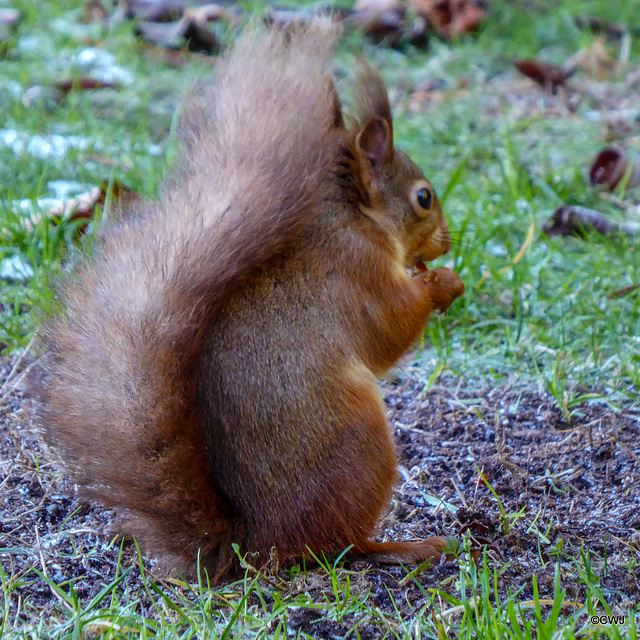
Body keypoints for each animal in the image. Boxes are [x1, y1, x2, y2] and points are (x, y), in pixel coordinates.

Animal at [31, 22, 464, 576]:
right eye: (424, 198)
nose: (446, 243)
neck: (355, 218)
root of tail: (254, 540)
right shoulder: (358, 271)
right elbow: (391, 326)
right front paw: (443, 284)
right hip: (360, 449)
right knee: (335, 546)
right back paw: (402, 547)